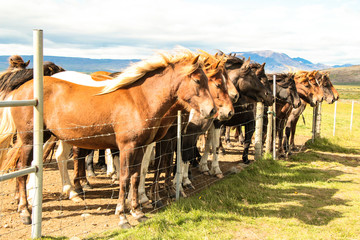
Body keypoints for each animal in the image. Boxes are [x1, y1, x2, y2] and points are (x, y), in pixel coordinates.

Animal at [0, 48, 217, 227]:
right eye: (198, 80)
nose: (212, 110)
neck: (139, 100)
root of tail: (21, 88)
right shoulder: (127, 147)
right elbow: (124, 177)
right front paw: (122, 216)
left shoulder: (139, 147)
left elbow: (135, 176)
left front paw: (137, 212)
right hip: (29, 140)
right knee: (22, 168)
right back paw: (25, 212)